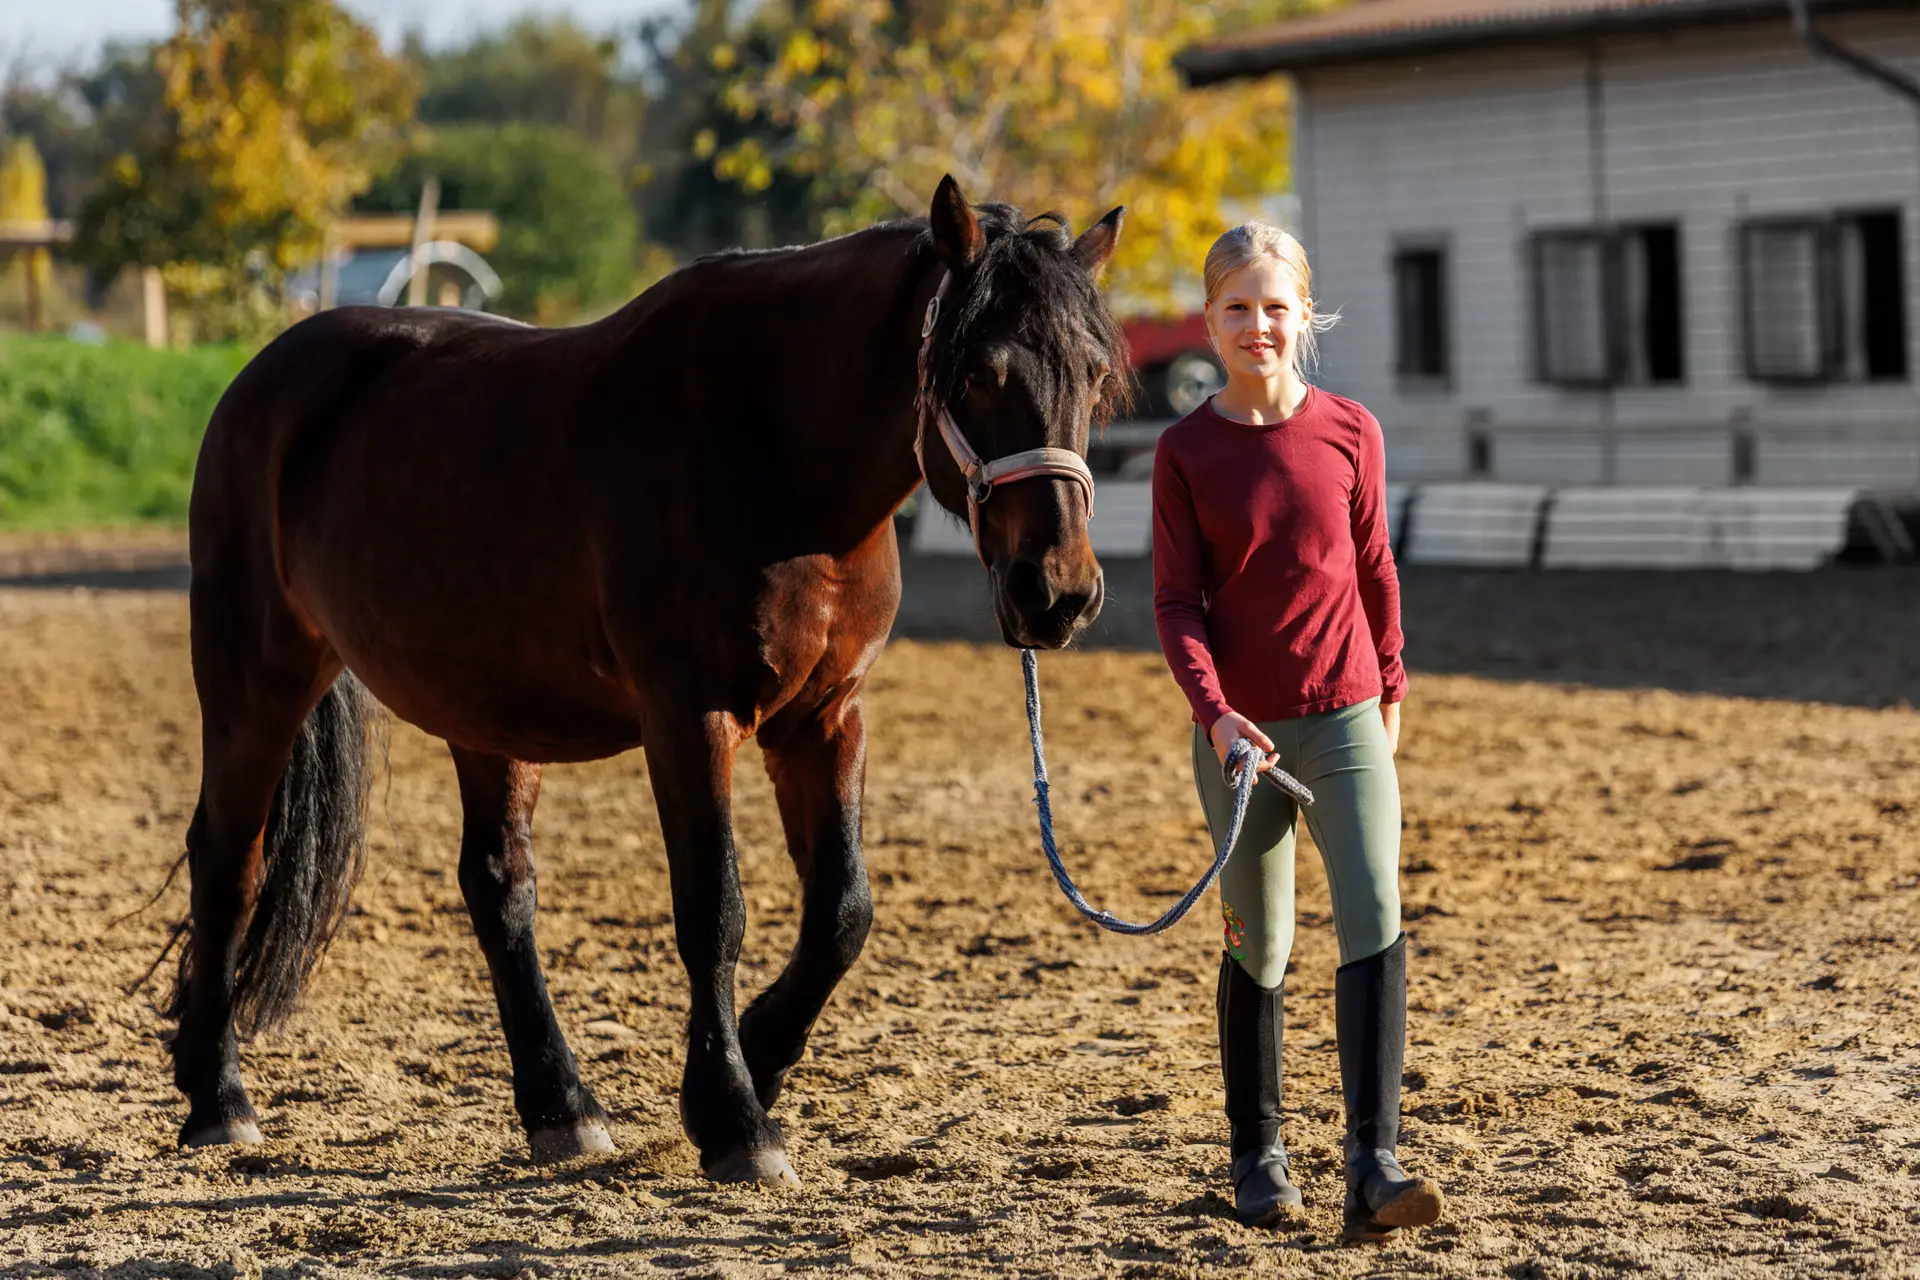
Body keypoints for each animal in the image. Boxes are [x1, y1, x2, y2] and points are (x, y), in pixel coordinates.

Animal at [166, 176, 1127, 1185]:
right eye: (978, 373)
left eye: (1096, 376)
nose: (1057, 592)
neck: (775, 453)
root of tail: (270, 374)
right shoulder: (690, 717)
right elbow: (713, 911)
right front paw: (735, 1118)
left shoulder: (826, 718)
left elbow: (842, 913)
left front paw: (760, 1058)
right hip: (256, 677)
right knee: (228, 861)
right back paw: (219, 1098)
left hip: (489, 711)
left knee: (498, 887)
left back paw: (562, 1109)